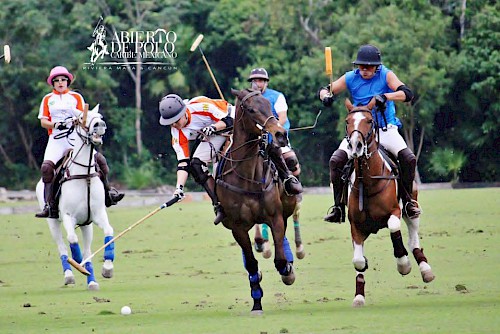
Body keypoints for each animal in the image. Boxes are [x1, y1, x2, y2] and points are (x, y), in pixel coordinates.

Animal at [36, 107, 115, 290]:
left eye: (100, 116)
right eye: (80, 119)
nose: (100, 125)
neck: (84, 175)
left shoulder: (97, 214)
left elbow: (109, 232)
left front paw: (107, 268)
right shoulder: (67, 216)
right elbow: (72, 239)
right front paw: (77, 262)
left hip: (87, 224)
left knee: (87, 251)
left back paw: (91, 280)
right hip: (52, 222)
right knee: (62, 248)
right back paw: (70, 275)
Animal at [216, 88, 296, 314]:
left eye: (270, 107)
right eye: (251, 109)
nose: (280, 134)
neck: (247, 176)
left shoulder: (275, 216)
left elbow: (280, 259)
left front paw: (288, 271)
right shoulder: (237, 227)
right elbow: (251, 263)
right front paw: (257, 301)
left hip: (286, 209)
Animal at [344, 98, 434, 308]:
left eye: (369, 120)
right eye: (347, 121)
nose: (355, 146)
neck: (368, 182)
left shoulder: (394, 211)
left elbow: (394, 227)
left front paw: (404, 265)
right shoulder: (355, 225)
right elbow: (358, 260)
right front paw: (359, 295)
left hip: (411, 203)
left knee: (412, 237)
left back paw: (425, 268)